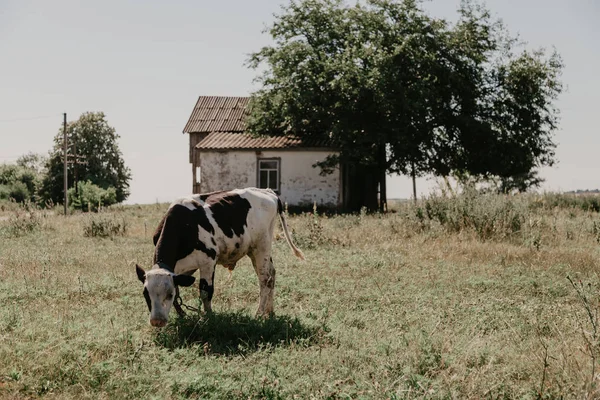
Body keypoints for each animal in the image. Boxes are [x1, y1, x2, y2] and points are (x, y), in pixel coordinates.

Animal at [135, 188, 304, 328]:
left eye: (168, 294)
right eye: (145, 294)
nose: (157, 321)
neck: (185, 225)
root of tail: (267, 191)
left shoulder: (208, 262)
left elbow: (205, 292)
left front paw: (208, 318)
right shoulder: (178, 270)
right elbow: (179, 293)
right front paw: (183, 316)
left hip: (262, 246)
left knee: (265, 279)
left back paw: (259, 314)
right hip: (256, 251)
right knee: (272, 274)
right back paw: (270, 311)